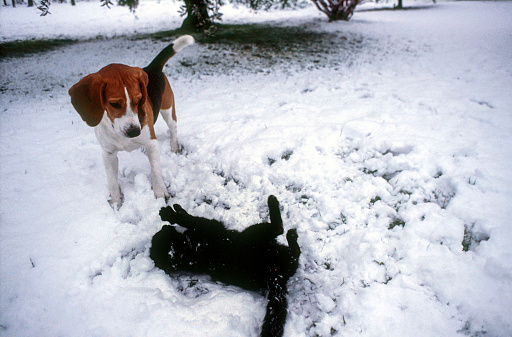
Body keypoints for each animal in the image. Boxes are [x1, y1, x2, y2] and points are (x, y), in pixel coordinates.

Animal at [68, 35, 194, 206]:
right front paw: (116, 203)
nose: (134, 132)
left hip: (168, 110)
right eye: (114, 104)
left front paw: (160, 192)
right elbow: (112, 181)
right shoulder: (108, 153)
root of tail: (151, 68)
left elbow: (156, 170)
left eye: (139, 100)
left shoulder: (152, 143)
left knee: (173, 129)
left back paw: (174, 147)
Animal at [149, 196, 300, 334]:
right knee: (278, 229)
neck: (188, 251)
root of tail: (276, 277)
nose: (164, 227)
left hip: (283, 254)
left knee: (295, 253)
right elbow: (189, 219)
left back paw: (291, 235)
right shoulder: (209, 225)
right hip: (254, 233)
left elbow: (187, 217)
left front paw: (177, 209)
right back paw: (275, 204)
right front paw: (169, 214)